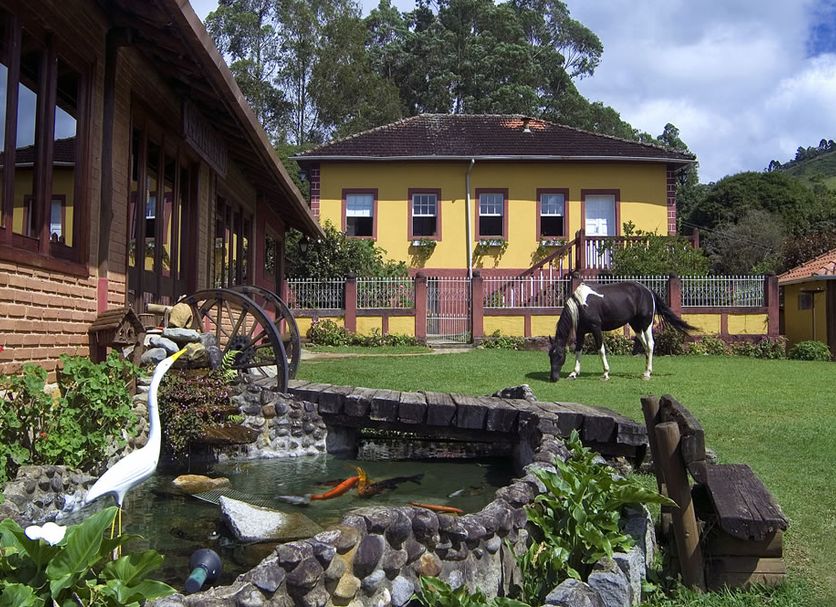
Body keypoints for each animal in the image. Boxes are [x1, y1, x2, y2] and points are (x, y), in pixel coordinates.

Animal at [548, 281, 696, 382]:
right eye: (550, 356)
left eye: (559, 356)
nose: (553, 378)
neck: (581, 304)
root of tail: (648, 291)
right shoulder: (580, 331)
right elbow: (578, 350)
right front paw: (574, 373)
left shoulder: (596, 328)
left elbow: (600, 349)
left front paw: (606, 373)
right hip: (636, 326)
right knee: (645, 346)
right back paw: (646, 371)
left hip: (646, 324)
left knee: (650, 344)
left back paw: (647, 373)